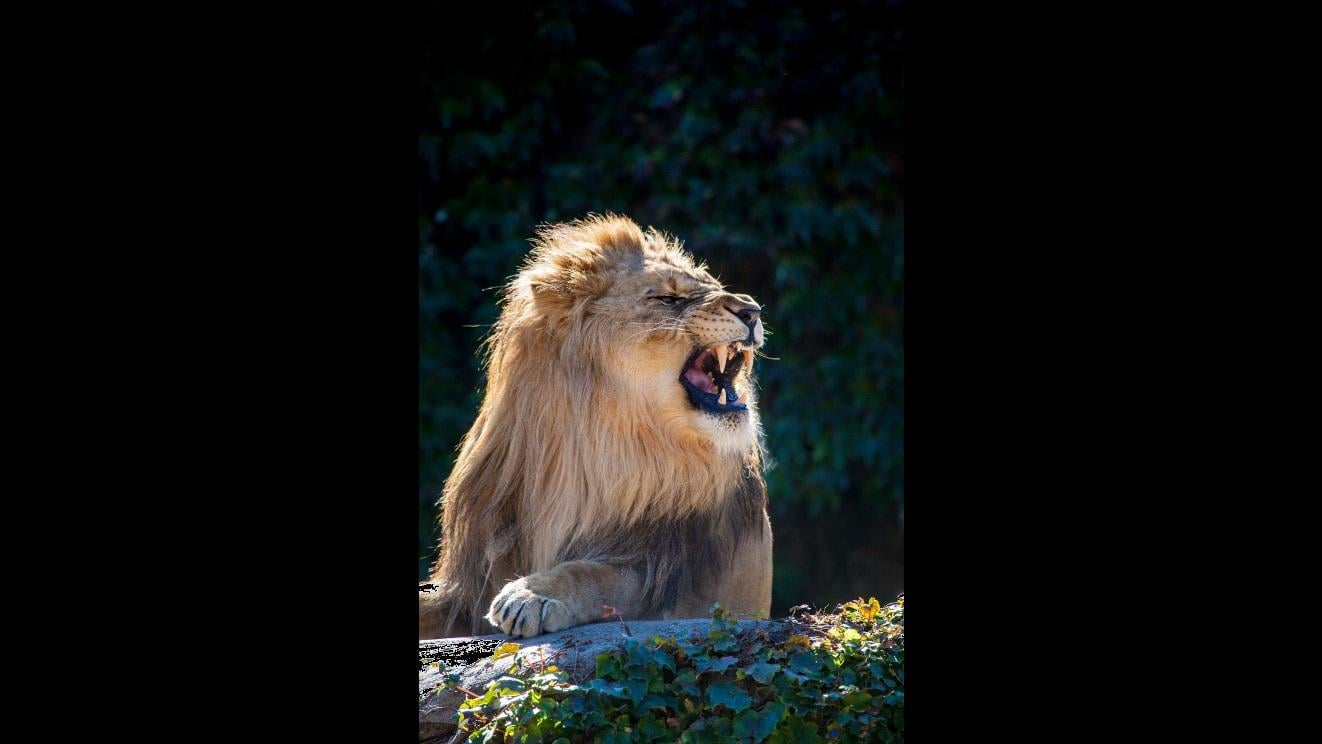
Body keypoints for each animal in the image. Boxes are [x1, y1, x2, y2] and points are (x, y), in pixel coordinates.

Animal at [420, 215, 772, 639]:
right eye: (667, 298)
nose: (752, 311)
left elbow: (599, 574)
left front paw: (532, 595)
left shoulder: (671, 573)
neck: (594, 447)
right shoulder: (468, 582)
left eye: (712, 286)